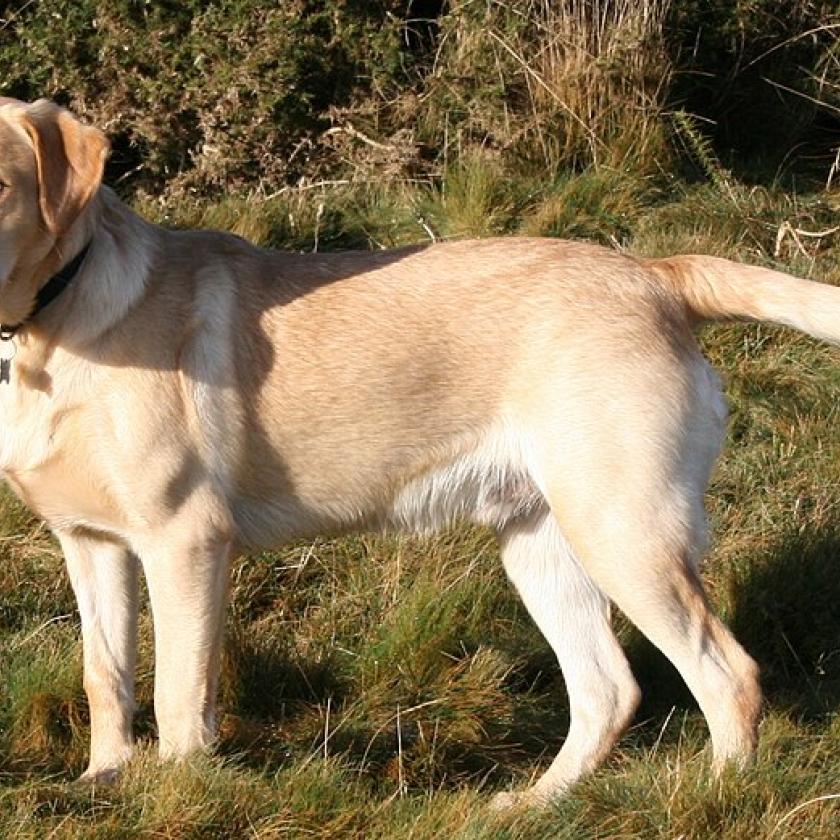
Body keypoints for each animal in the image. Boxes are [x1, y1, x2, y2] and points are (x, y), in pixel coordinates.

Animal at [1, 97, 840, 808]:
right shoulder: (92, 544)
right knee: (608, 689)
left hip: (625, 532)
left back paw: (717, 798)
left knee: (728, 676)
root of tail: (655, 275)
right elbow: (106, 674)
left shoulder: (186, 541)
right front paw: (104, 780)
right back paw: (534, 805)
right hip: (543, 546)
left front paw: (177, 796)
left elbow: (178, 693)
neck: (54, 322)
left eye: (3, 187)